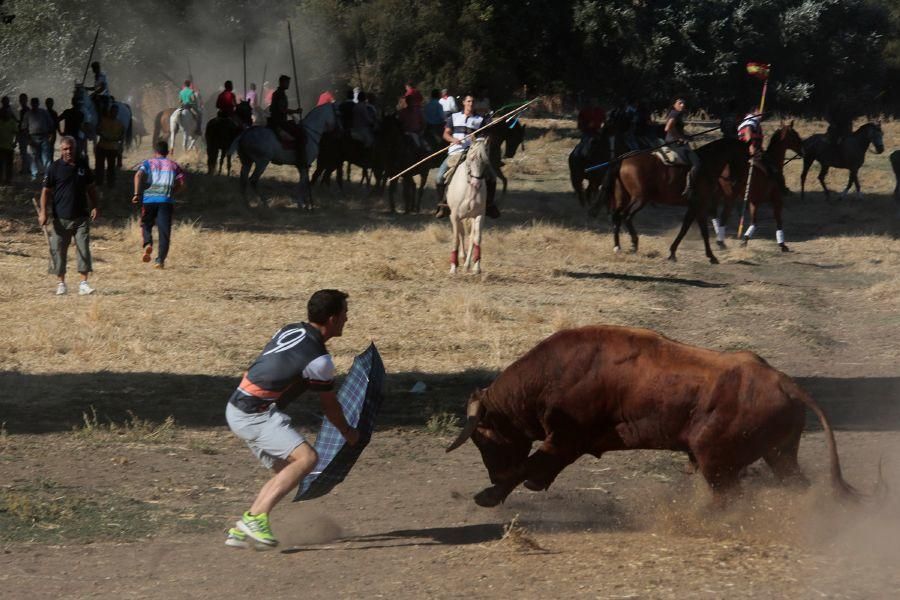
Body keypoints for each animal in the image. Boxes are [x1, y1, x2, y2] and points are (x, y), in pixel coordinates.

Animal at [444, 138, 488, 274]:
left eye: (485, 161)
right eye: (471, 158)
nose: (476, 183)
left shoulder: (479, 215)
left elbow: (477, 238)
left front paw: (477, 267)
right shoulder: (454, 216)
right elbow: (456, 239)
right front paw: (453, 267)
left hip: (471, 217)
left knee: (471, 236)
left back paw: (467, 264)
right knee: (461, 234)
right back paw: (462, 258)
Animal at [446, 324, 860, 506]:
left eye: (482, 437)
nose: (493, 474)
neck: (557, 371)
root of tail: (782, 382)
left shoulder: (565, 439)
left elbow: (531, 465)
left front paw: (490, 494)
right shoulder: (565, 443)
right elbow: (535, 468)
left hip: (717, 461)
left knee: (729, 494)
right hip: (779, 455)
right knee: (794, 484)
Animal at [592, 140, 744, 264]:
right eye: (743, 156)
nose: (735, 182)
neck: (707, 164)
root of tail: (623, 159)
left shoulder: (694, 207)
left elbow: (684, 228)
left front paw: (672, 253)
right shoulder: (700, 205)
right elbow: (703, 231)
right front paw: (712, 256)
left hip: (622, 197)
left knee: (616, 217)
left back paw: (617, 247)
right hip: (640, 199)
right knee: (626, 216)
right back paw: (634, 244)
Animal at [712, 122, 804, 253]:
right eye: (795, 135)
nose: (803, 150)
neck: (774, 161)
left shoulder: (754, 201)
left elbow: (754, 221)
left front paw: (744, 240)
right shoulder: (776, 199)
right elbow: (778, 220)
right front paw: (782, 244)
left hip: (718, 192)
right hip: (730, 196)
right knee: (724, 216)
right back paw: (720, 242)